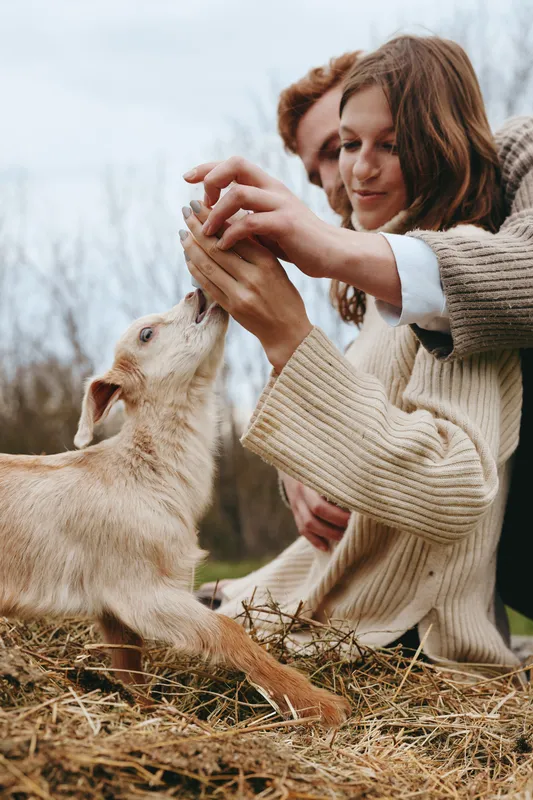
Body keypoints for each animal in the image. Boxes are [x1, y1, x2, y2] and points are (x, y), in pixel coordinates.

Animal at [0, 290, 349, 726]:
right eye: (146, 334)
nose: (196, 293)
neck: (144, 471)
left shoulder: (112, 604)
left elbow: (129, 664)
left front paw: (144, 708)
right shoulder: (141, 588)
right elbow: (227, 629)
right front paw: (321, 704)